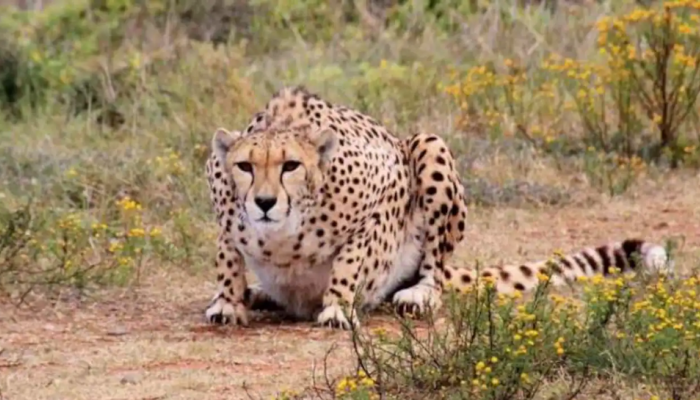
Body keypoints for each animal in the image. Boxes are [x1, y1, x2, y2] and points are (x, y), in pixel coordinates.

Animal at [203, 86, 672, 330]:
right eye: (244, 166)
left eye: (291, 166)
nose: (264, 202)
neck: (283, 233)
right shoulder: (223, 208)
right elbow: (228, 256)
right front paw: (229, 301)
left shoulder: (385, 193)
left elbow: (352, 258)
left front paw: (337, 305)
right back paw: (258, 292)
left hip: (429, 146)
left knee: (434, 266)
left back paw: (420, 294)